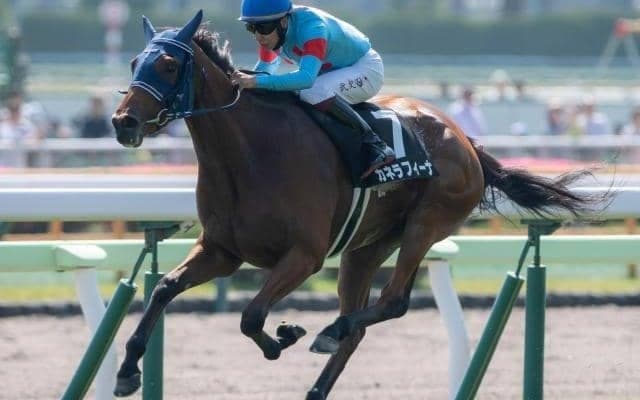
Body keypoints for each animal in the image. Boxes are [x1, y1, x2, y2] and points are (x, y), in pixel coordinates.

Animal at [111, 10, 600, 400]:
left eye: (169, 64)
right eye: (135, 63)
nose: (123, 122)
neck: (249, 153)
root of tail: (466, 141)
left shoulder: (304, 256)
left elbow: (251, 316)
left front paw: (285, 335)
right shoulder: (221, 251)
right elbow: (163, 289)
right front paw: (127, 371)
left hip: (426, 223)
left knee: (391, 302)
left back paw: (329, 331)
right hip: (366, 248)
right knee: (360, 323)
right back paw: (318, 382)